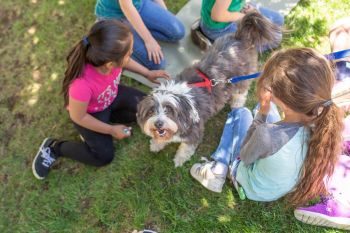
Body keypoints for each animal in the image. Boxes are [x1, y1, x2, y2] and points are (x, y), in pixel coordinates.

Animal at [137, 11, 282, 167]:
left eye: (169, 109)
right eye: (151, 111)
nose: (158, 123)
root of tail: (239, 37)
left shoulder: (194, 131)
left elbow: (186, 148)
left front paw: (179, 159)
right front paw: (156, 144)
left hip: (241, 78)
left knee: (241, 92)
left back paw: (236, 104)